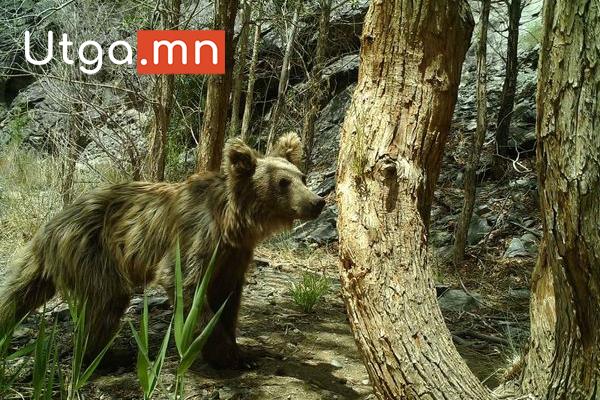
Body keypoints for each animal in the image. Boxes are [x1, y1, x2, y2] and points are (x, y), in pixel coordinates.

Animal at [0, 134, 324, 368]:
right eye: (283, 182)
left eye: (302, 177)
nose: (317, 201)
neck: (233, 222)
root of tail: (48, 227)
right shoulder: (198, 237)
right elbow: (186, 285)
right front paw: (228, 356)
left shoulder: (234, 255)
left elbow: (228, 298)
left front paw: (238, 349)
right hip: (93, 249)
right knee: (106, 300)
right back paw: (100, 357)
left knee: (19, 293)